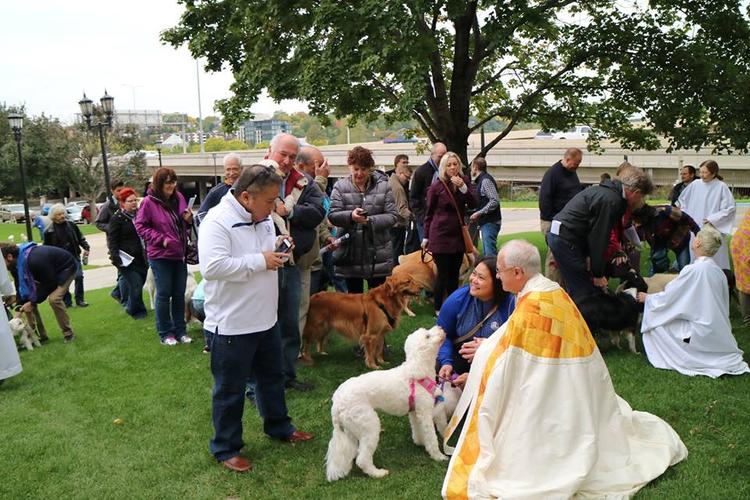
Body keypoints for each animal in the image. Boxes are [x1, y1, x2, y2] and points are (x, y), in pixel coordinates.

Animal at [328, 324, 446, 480]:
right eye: (427, 336)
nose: (440, 326)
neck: (418, 370)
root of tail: (337, 403)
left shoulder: (415, 413)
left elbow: (418, 430)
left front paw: (420, 442)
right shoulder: (425, 413)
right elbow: (431, 436)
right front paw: (438, 456)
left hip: (350, 428)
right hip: (369, 424)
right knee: (362, 459)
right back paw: (377, 473)